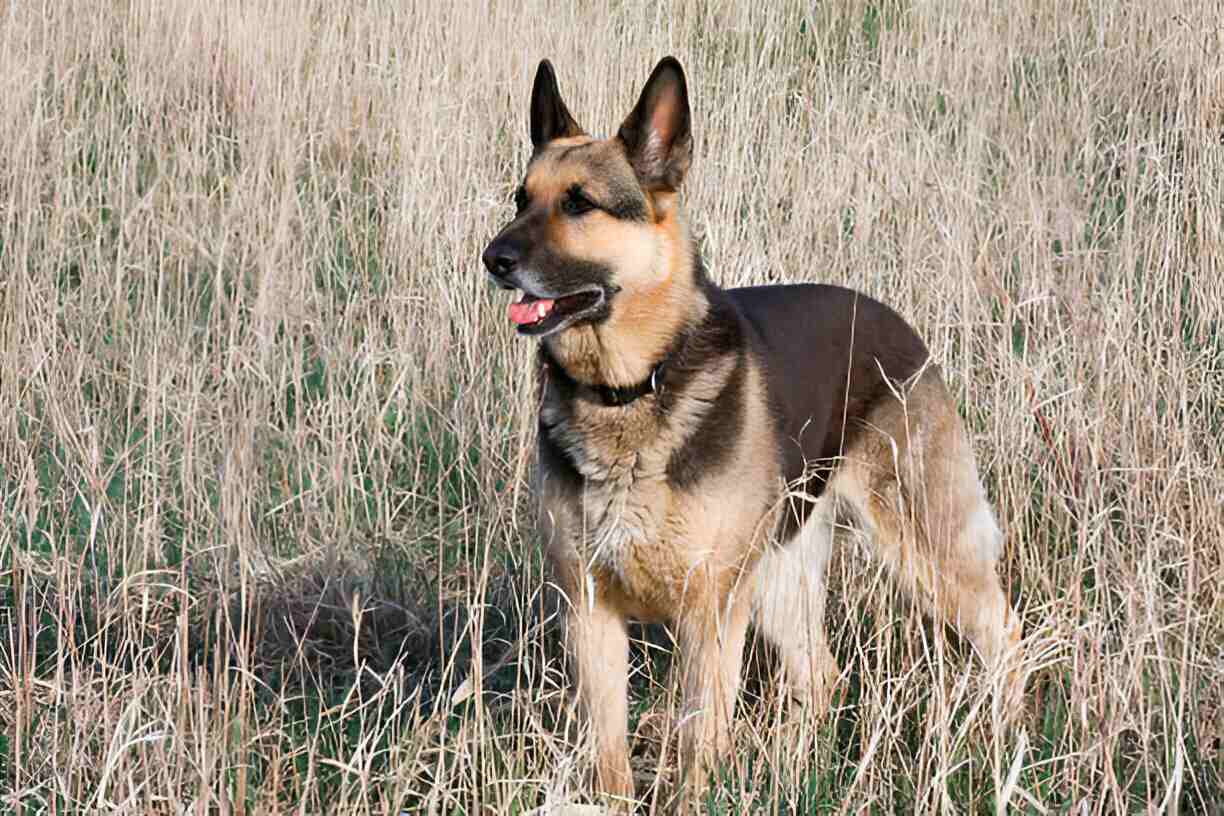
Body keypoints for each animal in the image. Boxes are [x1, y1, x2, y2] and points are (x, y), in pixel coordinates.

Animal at [482, 55, 1018, 802]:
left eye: (580, 204)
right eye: (520, 198)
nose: (492, 258)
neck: (631, 387)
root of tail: (895, 322)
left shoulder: (708, 616)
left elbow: (696, 747)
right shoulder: (589, 613)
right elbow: (610, 756)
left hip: (924, 550)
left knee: (1004, 630)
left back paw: (1004, 737)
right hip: (777, 577)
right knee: (822, 677)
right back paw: (791, 766)